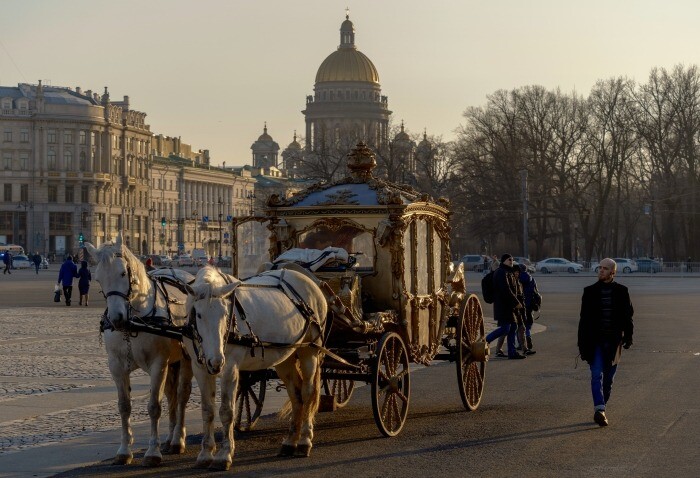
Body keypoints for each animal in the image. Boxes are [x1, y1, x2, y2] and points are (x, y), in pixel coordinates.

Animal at [85, 236, 194, 466]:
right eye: (98, 279)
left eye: (122, 273)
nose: (116, 319)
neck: (134, 321)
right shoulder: (116, 366)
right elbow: (124, 406)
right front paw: (124, 450)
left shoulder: (158, 364)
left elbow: (154, 407)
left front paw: (152, 452)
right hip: (172, 363)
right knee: (171, 395)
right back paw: (169, 439)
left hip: (187, 359)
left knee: (182, 395)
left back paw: (178, 440)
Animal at [186, 266, 328, 470]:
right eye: (198, 315)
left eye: (225, 314)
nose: (216, 361)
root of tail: (309, 280)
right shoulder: (200, 369)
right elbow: (207, 411)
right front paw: (205, 453)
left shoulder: (230, 369)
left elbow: (226, 411)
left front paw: (224, 454)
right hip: (285, 356)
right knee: (296, 395)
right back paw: (290, 441)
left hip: (310, 351)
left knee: (308, 392)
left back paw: (304, 441)